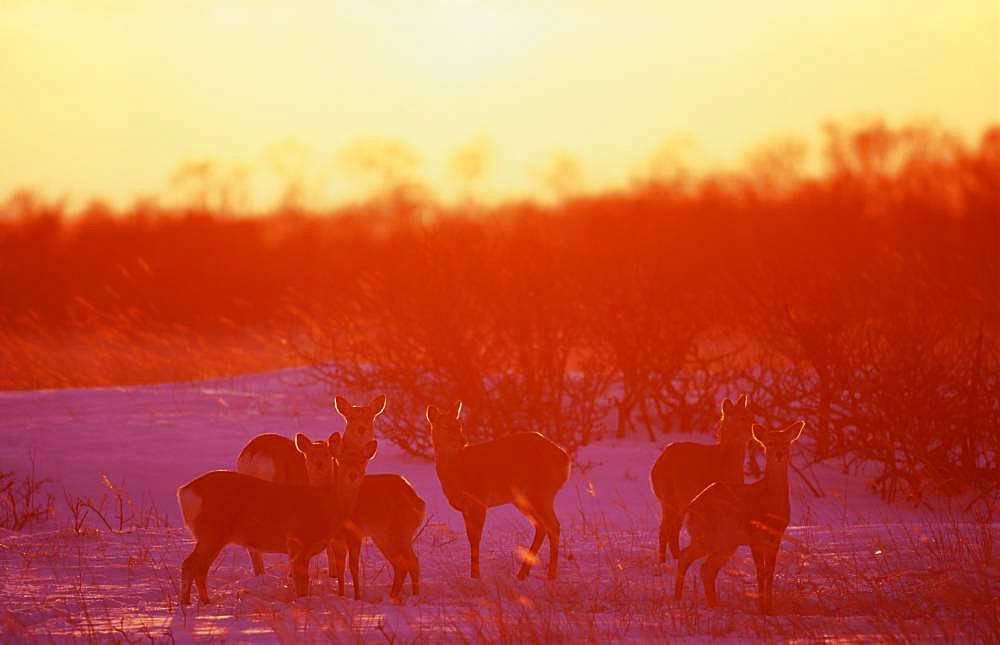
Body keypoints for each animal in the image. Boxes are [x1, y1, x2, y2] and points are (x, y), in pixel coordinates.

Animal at [176, 432, 376, 604]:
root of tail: (184, 492)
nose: (352, 475)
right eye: (340, 460)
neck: (325, 505)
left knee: (199, 567)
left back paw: (199, 602)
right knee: (190, 564)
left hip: (212, 535)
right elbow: (301, 583)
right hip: (213, 530)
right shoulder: (297, 541)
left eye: (363, 461)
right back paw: (191, 603)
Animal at [424, 400, 572, 580]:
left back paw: (551, 575)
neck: (457, 473)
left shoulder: (480, 499)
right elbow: (470, 537)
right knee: (541, 526)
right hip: (524, 499)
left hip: (542, 493)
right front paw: (473, 574)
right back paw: (522, 573)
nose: (463, 441)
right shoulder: (465, 507)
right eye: (444, 426)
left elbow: (475, 538)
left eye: (459, 425)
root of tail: (565, 459)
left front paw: (476, 575)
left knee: (553, 526)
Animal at [648, 392, 752, 560]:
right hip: (669, 500)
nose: (756, 430)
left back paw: (676, 557)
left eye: (752, 416)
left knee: (673, 528)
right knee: (665, 528)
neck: (724, 464)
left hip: (680, 504)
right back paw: (663, 561)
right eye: (741, 418)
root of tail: (657, 465)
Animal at [672, 420, 804, 612]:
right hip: (709, 536)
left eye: (787, 442)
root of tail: (692, 504)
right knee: (687, 557)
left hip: (726, 543)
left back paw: (714, 604)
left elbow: (770, 572)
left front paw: (770, 607)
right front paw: (762, 608)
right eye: (769, 443)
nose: (779, 454)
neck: (771, 505)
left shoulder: (776, 537)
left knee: (706, 568)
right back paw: (679, 599)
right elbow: (760, 572)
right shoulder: (755, 536)